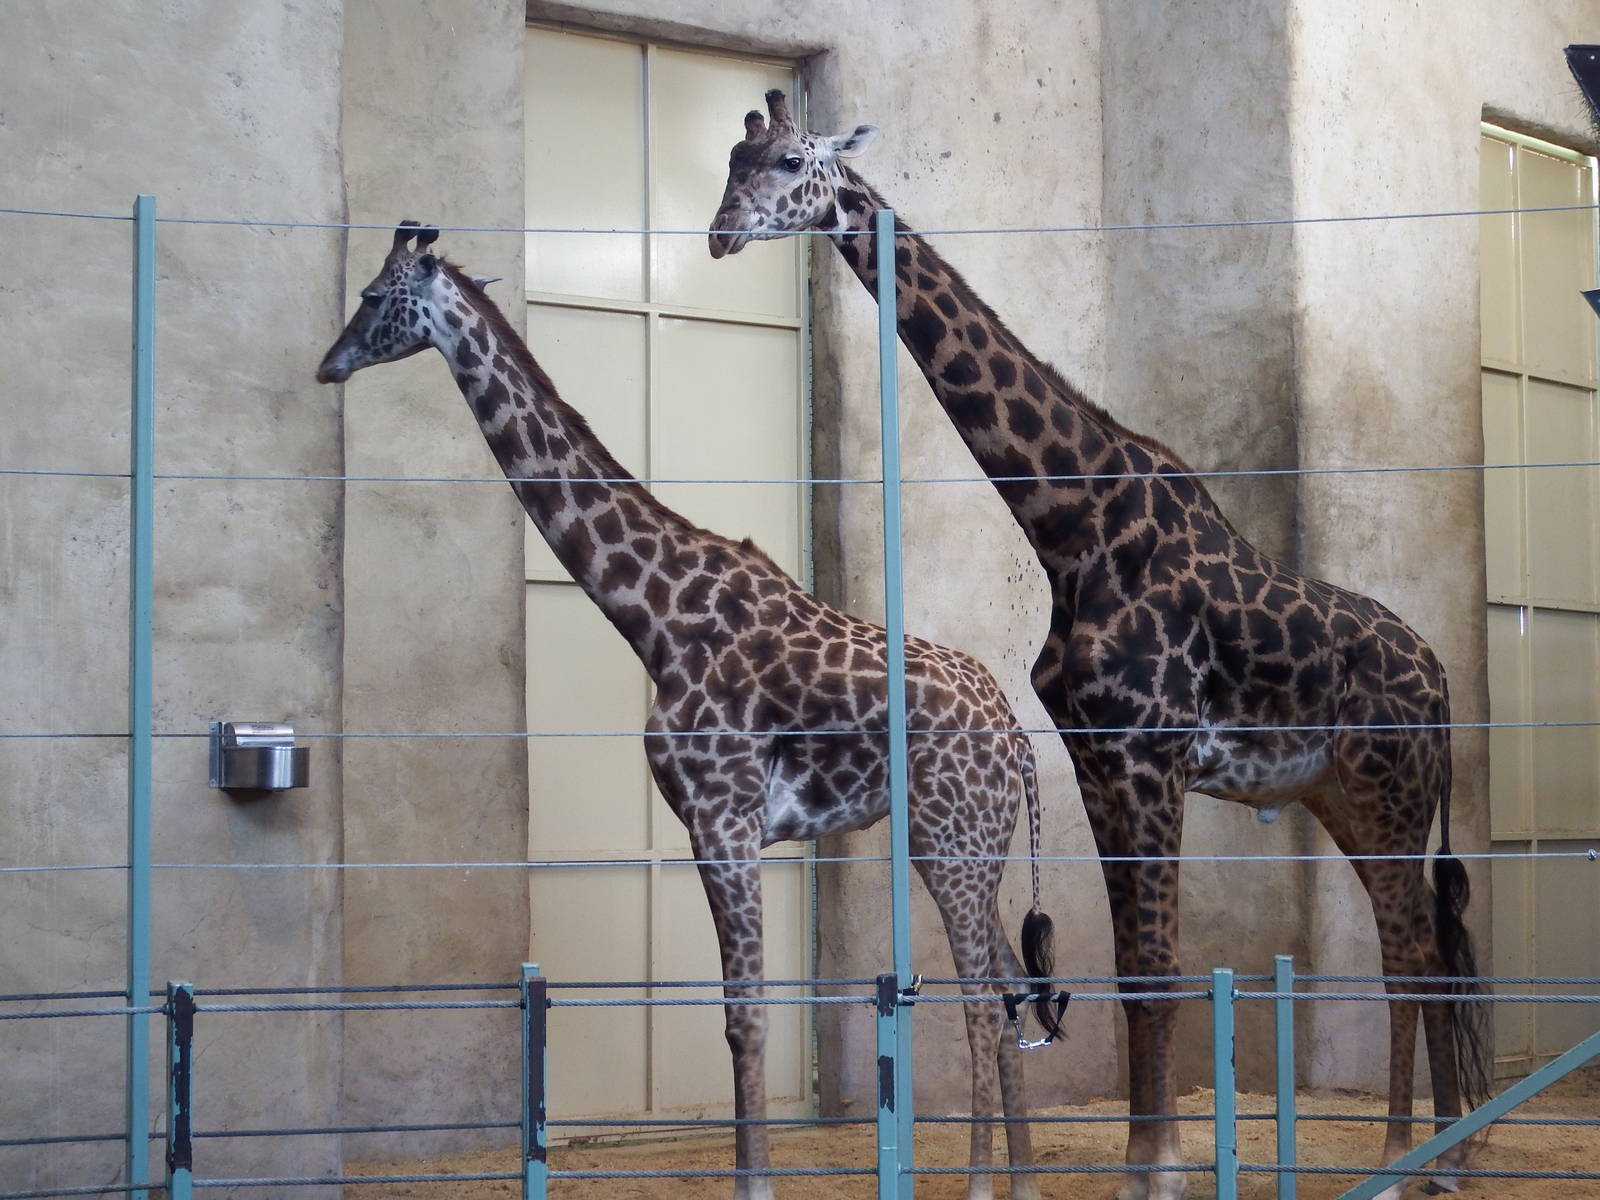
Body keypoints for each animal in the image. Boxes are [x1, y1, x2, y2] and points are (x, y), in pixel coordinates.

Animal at [317, 222, 1065, 1200]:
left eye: (373, 296)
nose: (327, 365)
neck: (655, 613)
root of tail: (1015, 737)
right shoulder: (712, 826)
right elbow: (736, 1015)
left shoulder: (722, 819)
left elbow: (746, 1017)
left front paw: (756, 1186)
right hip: (968, 841)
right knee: (1008, 991)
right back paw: (1022, 1181)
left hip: (953, 840)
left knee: (981, 998)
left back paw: (981, 1184)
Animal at [708, 92, 1491, 1200]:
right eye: (729, 165)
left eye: (784, 163)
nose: (719, 232)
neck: (1070, 526)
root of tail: (1440, 681)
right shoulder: (1097, 760)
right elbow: (1128, 974)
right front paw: (1143, 1166)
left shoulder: (1148, 754)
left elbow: (1159, 972)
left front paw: (1157, 1173)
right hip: (1340, 793)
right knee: (1418, 940)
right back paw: (1435, 1155)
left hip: (1390, 789)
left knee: (1415, 946)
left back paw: (1411, 1159)